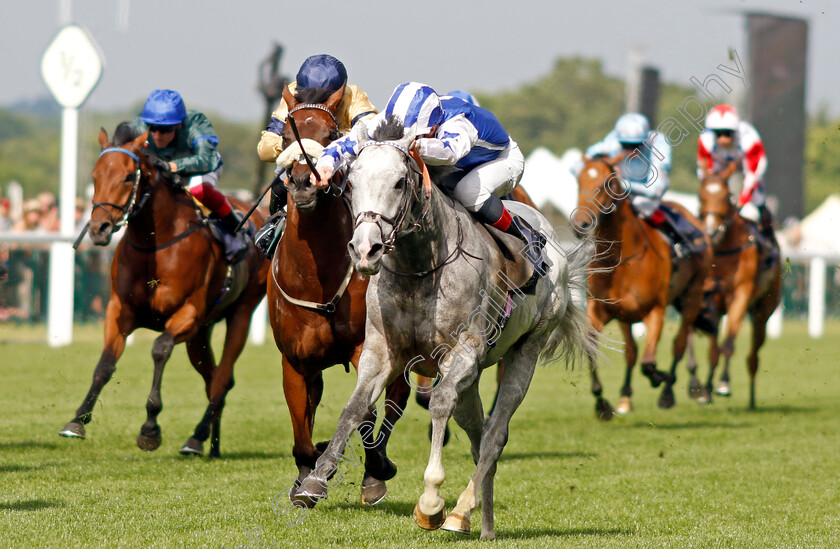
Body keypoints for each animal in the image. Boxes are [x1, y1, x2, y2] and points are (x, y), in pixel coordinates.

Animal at [58, 122, 268, 456]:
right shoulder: (120, 310)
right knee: (213, 377)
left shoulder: (188, 313)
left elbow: (159, 349)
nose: (99, 229)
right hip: (201, 335)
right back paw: (212, 443)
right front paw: (77, 421)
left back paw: (197, 436)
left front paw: (150, 428)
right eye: (94, 174)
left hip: (242, 312)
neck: (154, 245)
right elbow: (105, 364)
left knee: (223, 377)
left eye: (127, 176)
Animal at [270, 84, 410, 506]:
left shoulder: (365, 346)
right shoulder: (294, 361)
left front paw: (375, 473)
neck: (317, 280)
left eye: (331, 134)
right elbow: (301, 429)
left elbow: (366, 414)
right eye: (287, 133)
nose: (303, 181)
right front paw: (307, 475)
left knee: (395, 403)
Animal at [294, 116, 596, 540]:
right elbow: (354, 408)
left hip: (526, 351)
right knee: (477, 434)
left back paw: (459, 511)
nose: (365, 250)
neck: (419, 266)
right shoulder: (381, 350)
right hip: (473, 377)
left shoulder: (464, 350)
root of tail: (552, 239)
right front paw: (314, 481)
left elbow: (438, 404)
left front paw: (431, 502)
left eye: (399, 183)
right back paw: (480, 522)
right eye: (350, 183)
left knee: (494, 436)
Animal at [576, 156, 712, 418]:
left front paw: (661, 378)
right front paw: (602, 403)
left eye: (605, 183)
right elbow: (594, 348)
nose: (580, 224)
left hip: (693, 295)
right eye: (579, 180)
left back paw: (671, 392)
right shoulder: (605, 310)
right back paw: (627, 396)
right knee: (634, 352)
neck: (621, 259)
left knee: (679, 344)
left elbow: (649, 363)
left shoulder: (655, 310)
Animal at [688, 165, 780, 408]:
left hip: (763, 311)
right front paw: (699, 387)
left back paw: (751, 400)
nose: (711, 231)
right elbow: (708, 346)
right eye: (700, 196)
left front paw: (723, 383)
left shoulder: (740, 294)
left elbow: (727, 344)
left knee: (753, 355)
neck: (722, 251)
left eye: (726, 196)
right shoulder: (706, 297)